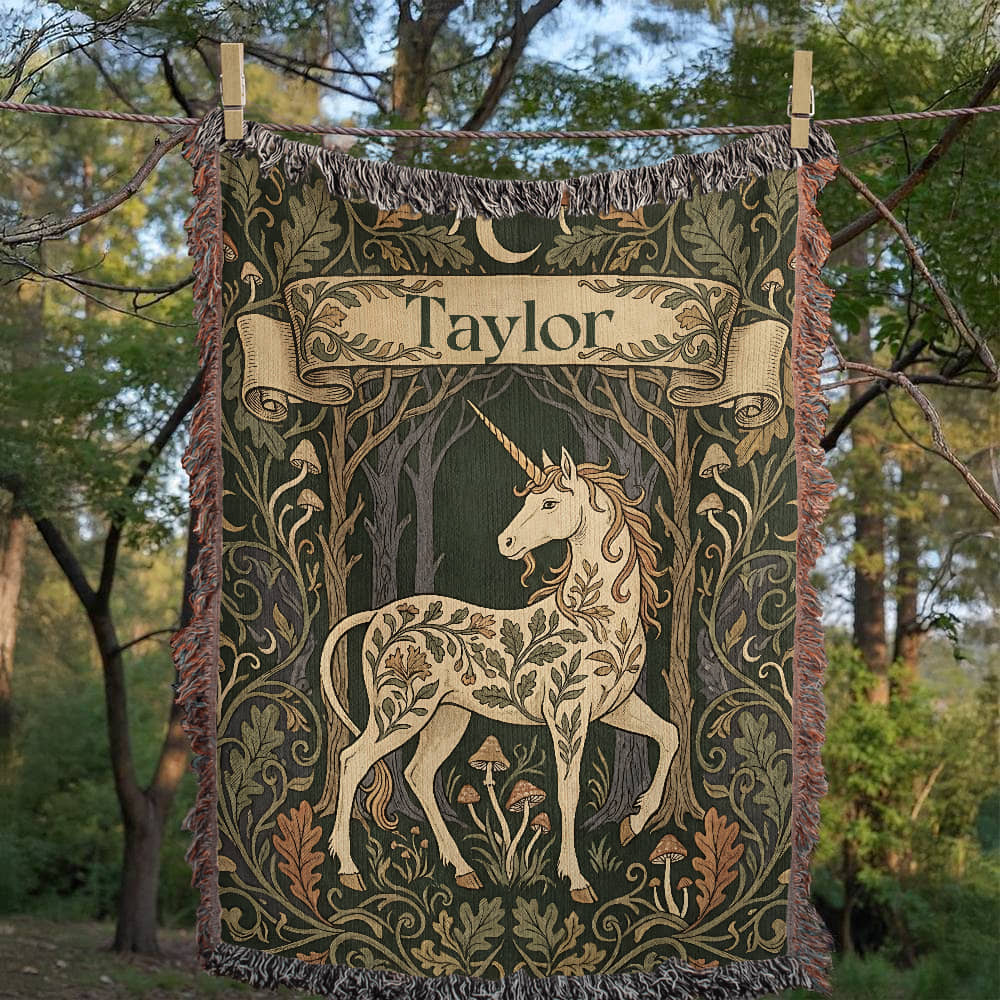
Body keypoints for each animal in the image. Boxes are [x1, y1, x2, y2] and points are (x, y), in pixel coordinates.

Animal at [320, 404, 679, 904]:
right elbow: (568, 791)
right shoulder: (567, 715)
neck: (596, 617)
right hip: (400, 711)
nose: (506, 544)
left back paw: (463, 870)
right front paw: (577, 880)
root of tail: (375, 616)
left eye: (549, 504)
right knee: (353, 761)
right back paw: (350, 870)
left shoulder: (615, 706)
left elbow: (670, 736)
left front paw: (634, 823)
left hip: (448, 715)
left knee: (417, 774)